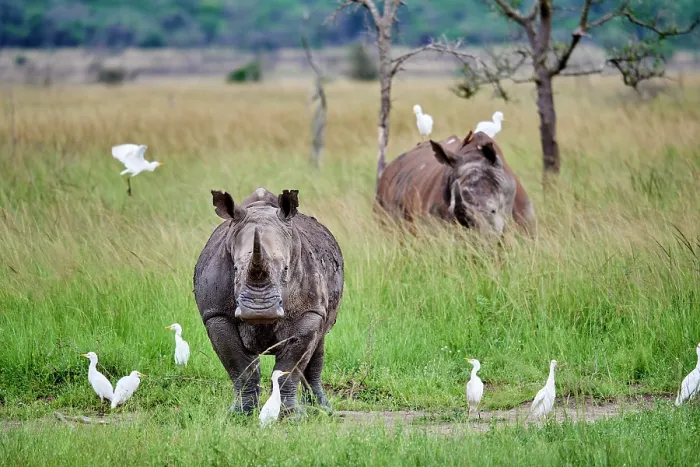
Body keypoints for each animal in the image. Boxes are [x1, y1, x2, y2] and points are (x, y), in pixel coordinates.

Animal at [193, 187, 344, 414]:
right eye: (235, 268)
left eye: (286, 269)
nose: (259, 311)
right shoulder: (216, 314)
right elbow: (240, 367)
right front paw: (242, 413)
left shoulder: (309, 312)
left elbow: (290, 368)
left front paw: (292, 415)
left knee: (318, 345)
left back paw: (323, 410)